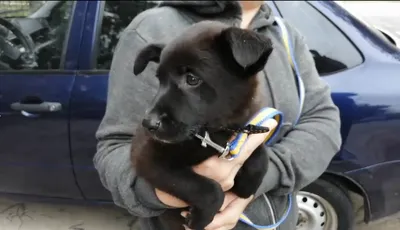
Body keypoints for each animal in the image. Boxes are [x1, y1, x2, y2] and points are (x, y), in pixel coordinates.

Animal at [131, 20, 276, 230]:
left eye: (192, 79)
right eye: (160, 80)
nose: (147, 123)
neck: (215, 133)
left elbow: (261, 155)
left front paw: (247, 186)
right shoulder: (147, 157)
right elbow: (209, 188)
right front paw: (200, 218)